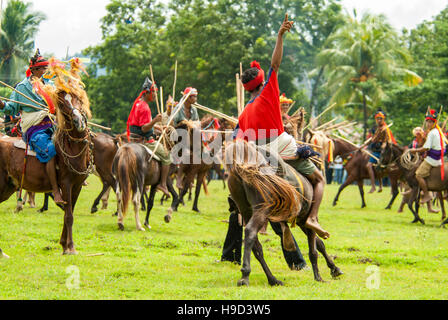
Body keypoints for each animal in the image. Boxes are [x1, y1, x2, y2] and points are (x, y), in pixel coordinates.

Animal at [0, 90, 93, 255]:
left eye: (79, 99)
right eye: (61, 103)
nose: (79, 121)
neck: (73, 148)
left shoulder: (77, 185)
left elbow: (68, 213)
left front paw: (64, 245)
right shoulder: (66, 183)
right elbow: (69, 216)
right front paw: (71, 247)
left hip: (8, 186)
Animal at [224, 140, 344, 284]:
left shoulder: (301, 221)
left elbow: (319, 244)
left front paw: (334, 268)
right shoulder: (306, 219)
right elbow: (313, 250)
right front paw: (318, 277)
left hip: (246, 210)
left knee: (257, 247)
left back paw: (272, 279)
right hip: (261, 209)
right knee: (250, 232)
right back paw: (245, 275)